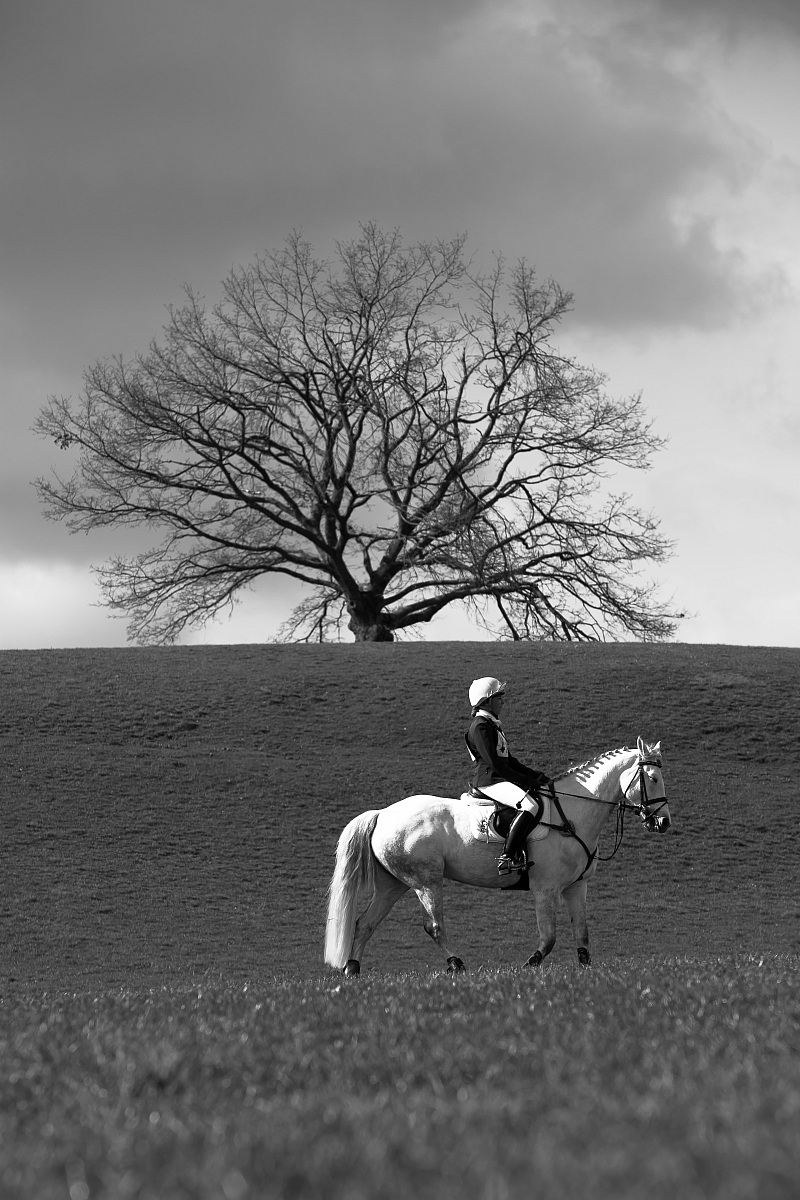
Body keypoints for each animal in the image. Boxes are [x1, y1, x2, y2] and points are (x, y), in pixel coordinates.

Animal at [324, 737, 670, 975]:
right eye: (652, 779)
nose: (663, 823)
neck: (572, 813)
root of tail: (382, 813)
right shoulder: (545, 889)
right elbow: (549, 937)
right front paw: (529, 965)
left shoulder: (576, 887)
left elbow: (581, 931)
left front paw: (584, 969)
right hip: (425, 882)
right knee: (433, 925)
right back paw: (456, 964)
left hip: (392, 884)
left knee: (365, 923)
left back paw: (352, 968)